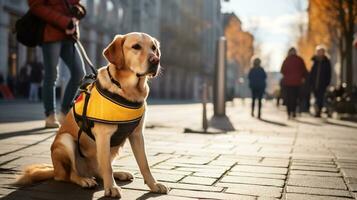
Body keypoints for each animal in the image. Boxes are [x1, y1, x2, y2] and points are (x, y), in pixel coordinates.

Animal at [15, 32, 168, 198]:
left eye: (154, 48)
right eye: (136, 47)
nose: (156, 60)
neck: (127, 89)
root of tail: (54, 169)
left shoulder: (137, 135)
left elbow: (144, 164)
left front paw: (153, 185)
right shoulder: (103, 135)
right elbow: (107, 167)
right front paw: (111, 188)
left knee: (99, 171)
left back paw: (119, 174)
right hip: (66, 141)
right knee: (69, 175)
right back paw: (84, 180)